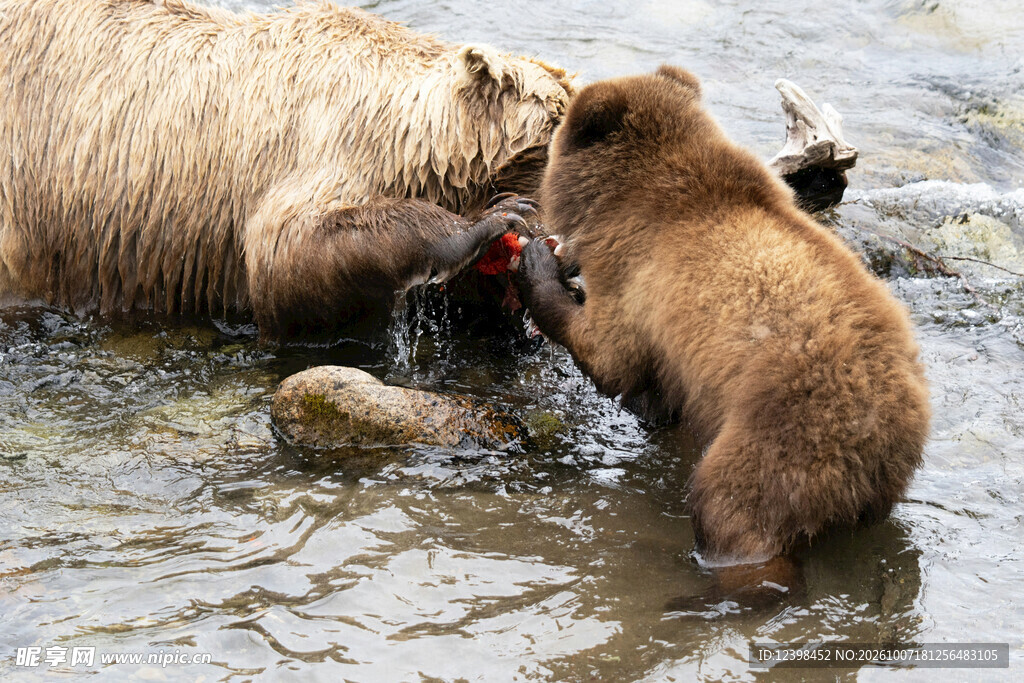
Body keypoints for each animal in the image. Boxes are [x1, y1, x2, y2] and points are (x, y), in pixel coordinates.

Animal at [518, 66, 931, 569]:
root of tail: (889, 427)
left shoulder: (637, 269)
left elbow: (610, 355)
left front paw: (537, 266)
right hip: (876, 477)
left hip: (785, 431)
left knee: (732, 505)